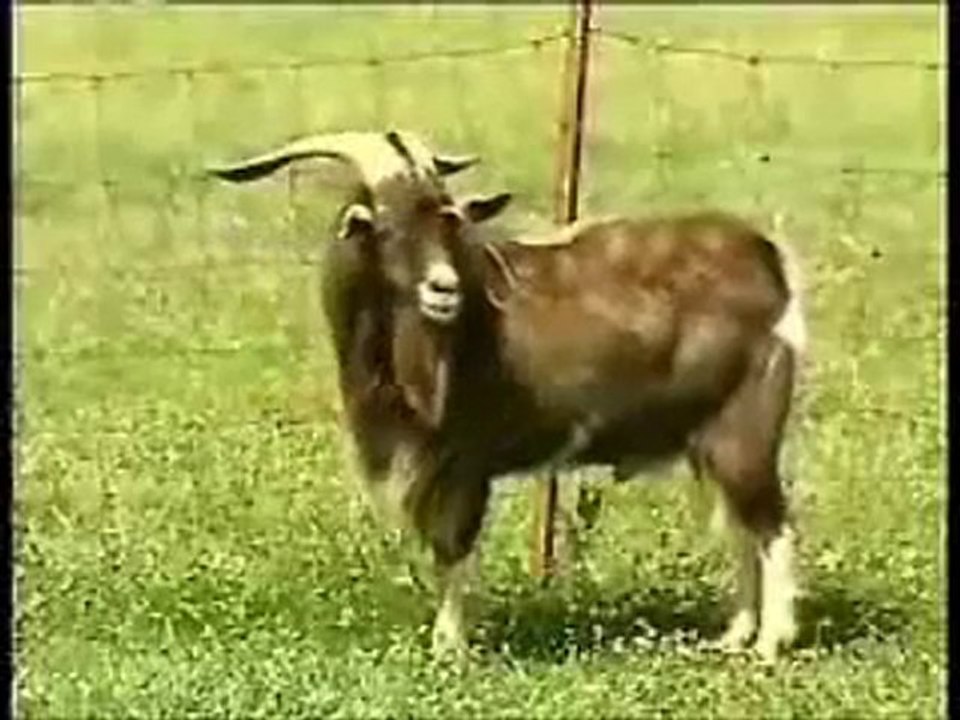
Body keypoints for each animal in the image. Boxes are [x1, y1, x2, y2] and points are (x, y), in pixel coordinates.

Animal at [208, 129, 806, 663]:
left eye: (447, 221)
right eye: (386, 227)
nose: (444, 289)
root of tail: (768, 259)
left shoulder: (463, 459)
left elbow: (453, 546)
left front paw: (450, 647)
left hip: (746, 427)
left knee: (772, 525)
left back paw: (771, 644)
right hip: (707, 438)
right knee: (741, 527)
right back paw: (734, 637)